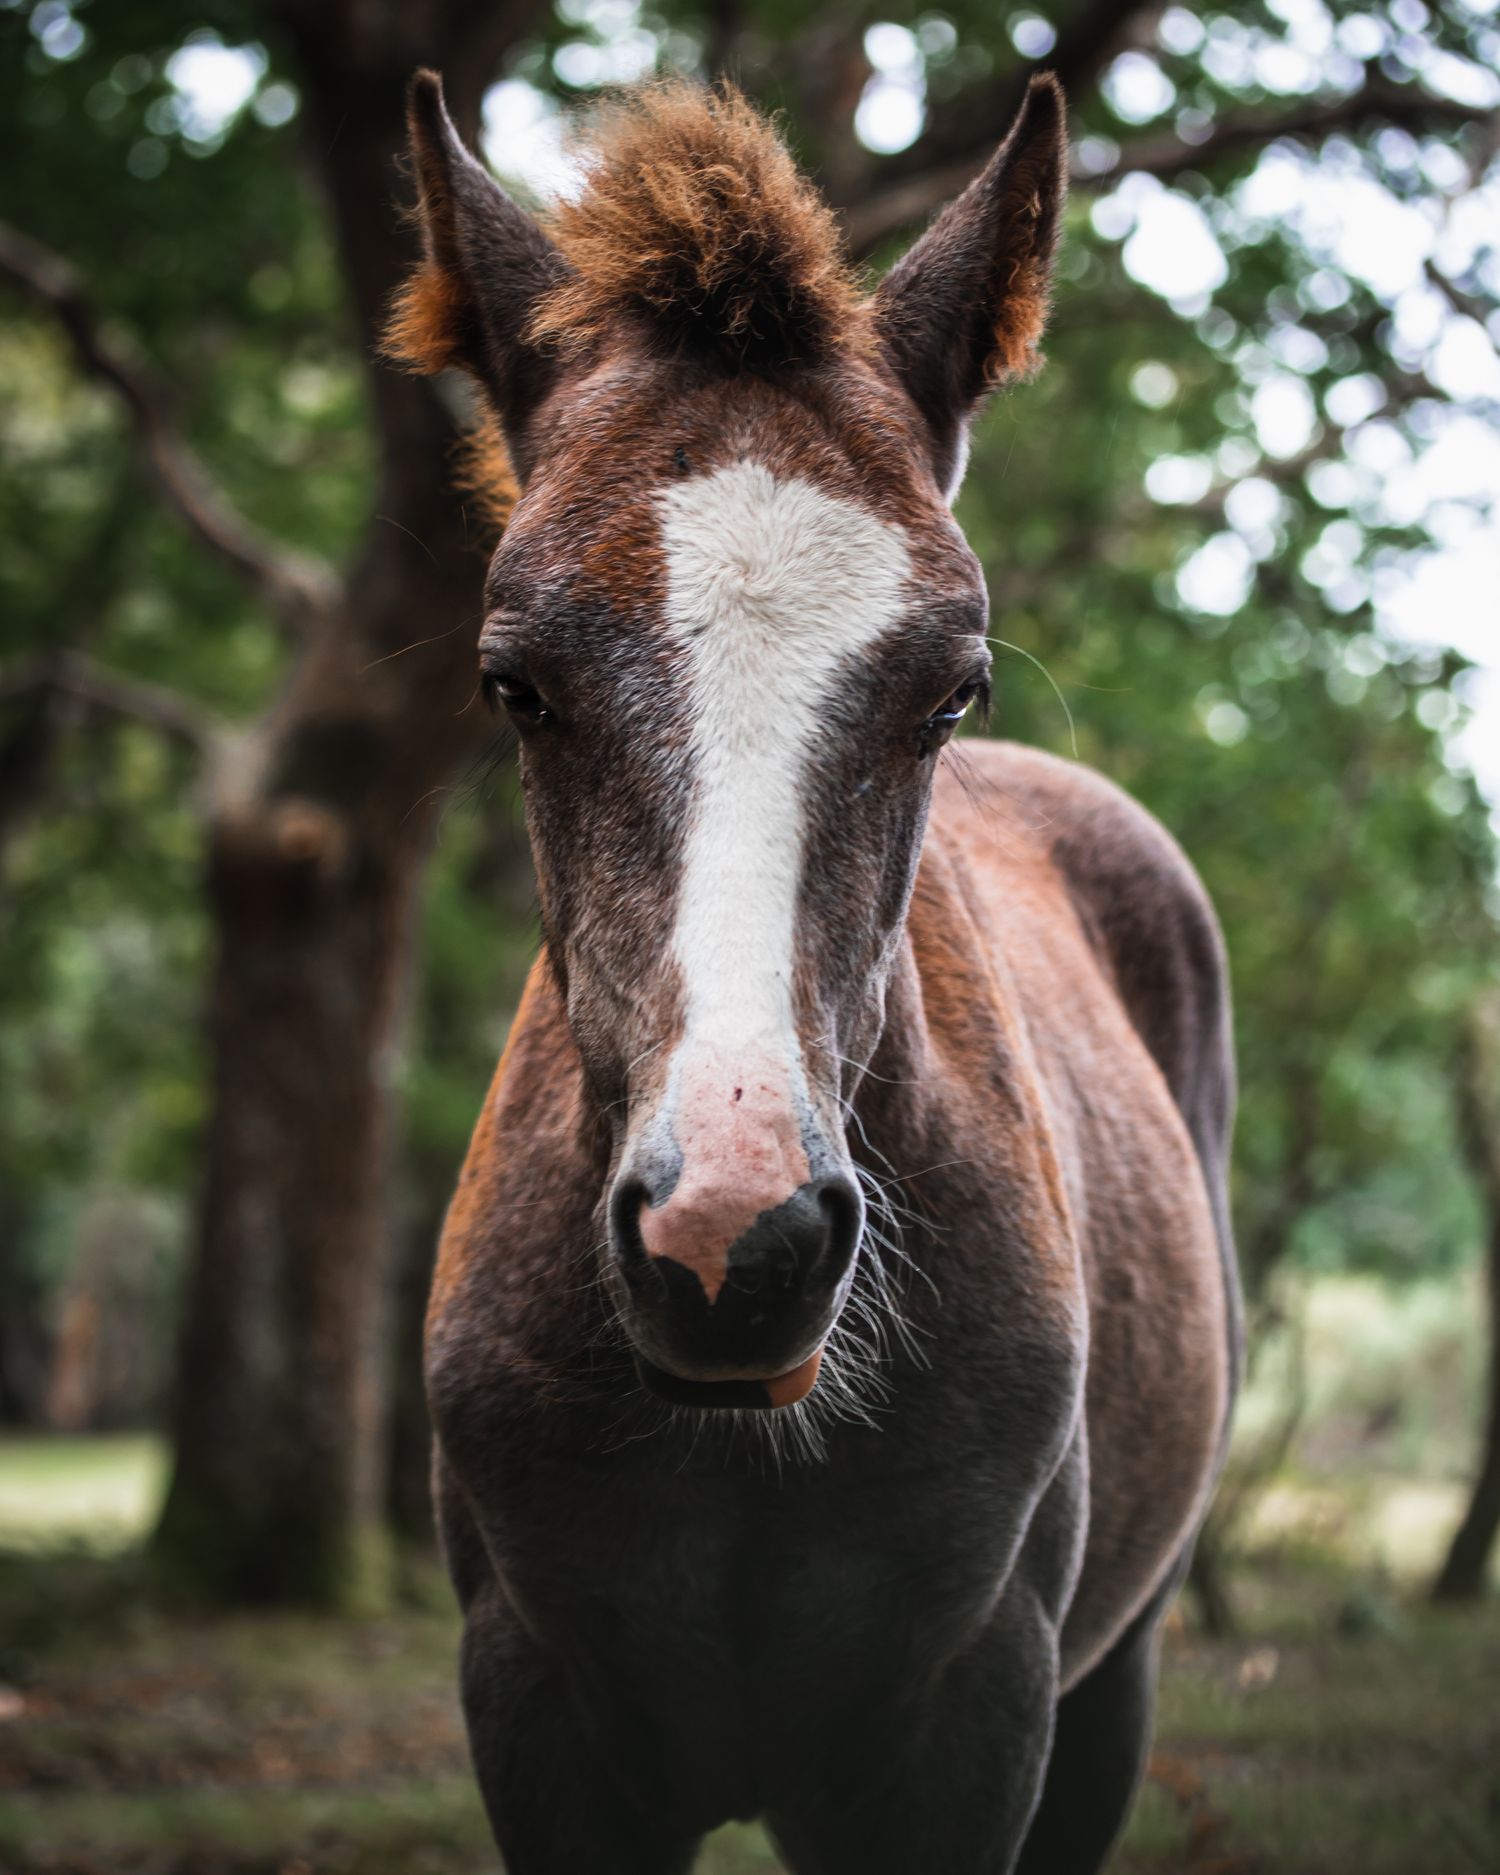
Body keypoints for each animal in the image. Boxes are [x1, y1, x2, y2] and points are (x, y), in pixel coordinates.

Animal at [388, 67, 1240, 1875]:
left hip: (1116, 1682)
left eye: (951, 688)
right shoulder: (538, 1724)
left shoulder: (973, 1728)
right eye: (515, 683)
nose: (733, 1236)